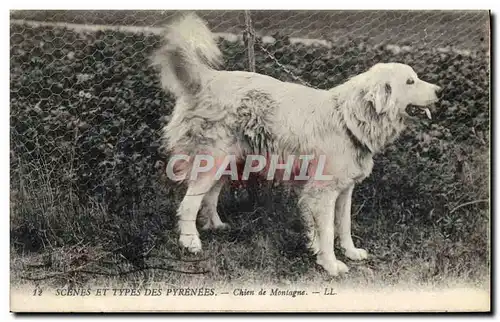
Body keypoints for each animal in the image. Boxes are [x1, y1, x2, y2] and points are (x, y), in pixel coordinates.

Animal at [153, 11, 442, 274]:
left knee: (209, 197)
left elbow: (343, 225)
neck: (348, 119)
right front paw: (331, 264)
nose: (440, 91)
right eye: (410, 81)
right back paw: (190, 243)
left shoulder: (343, 190)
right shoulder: (322, 192)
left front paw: (347, 252)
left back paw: (217, 226)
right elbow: (328, 231)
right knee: (188, 204)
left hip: (228, 162)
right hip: (212, 161)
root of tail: (207, 78)